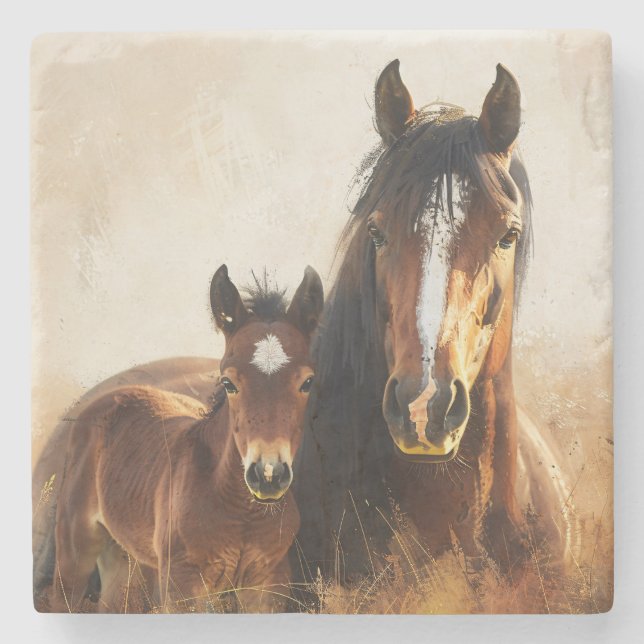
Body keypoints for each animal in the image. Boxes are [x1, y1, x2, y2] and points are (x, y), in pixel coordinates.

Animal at [49, 264, 324, 612]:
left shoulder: (269, 582)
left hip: (126, 556)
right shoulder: (183, 584)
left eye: (307, 382)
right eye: (228, 382)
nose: (268, 475)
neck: (241, 512)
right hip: (76, 546)